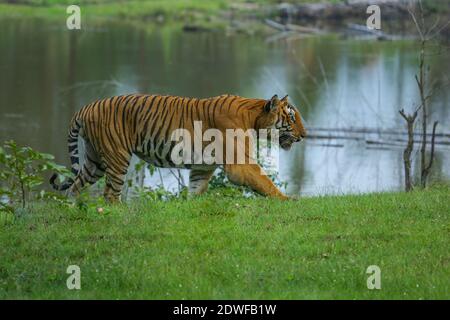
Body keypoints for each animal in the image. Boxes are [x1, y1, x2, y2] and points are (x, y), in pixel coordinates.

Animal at [51, 94, 308, 201]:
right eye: (292, 117)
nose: (305, 135)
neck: (254, 118)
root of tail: (86, 107)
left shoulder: (202, 167)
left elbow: (195, 190)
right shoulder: (240, 164)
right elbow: (265, 182)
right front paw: (287, 200)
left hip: (95, 161)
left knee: (74, 187)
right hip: (117, 156)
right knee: (110, 194)